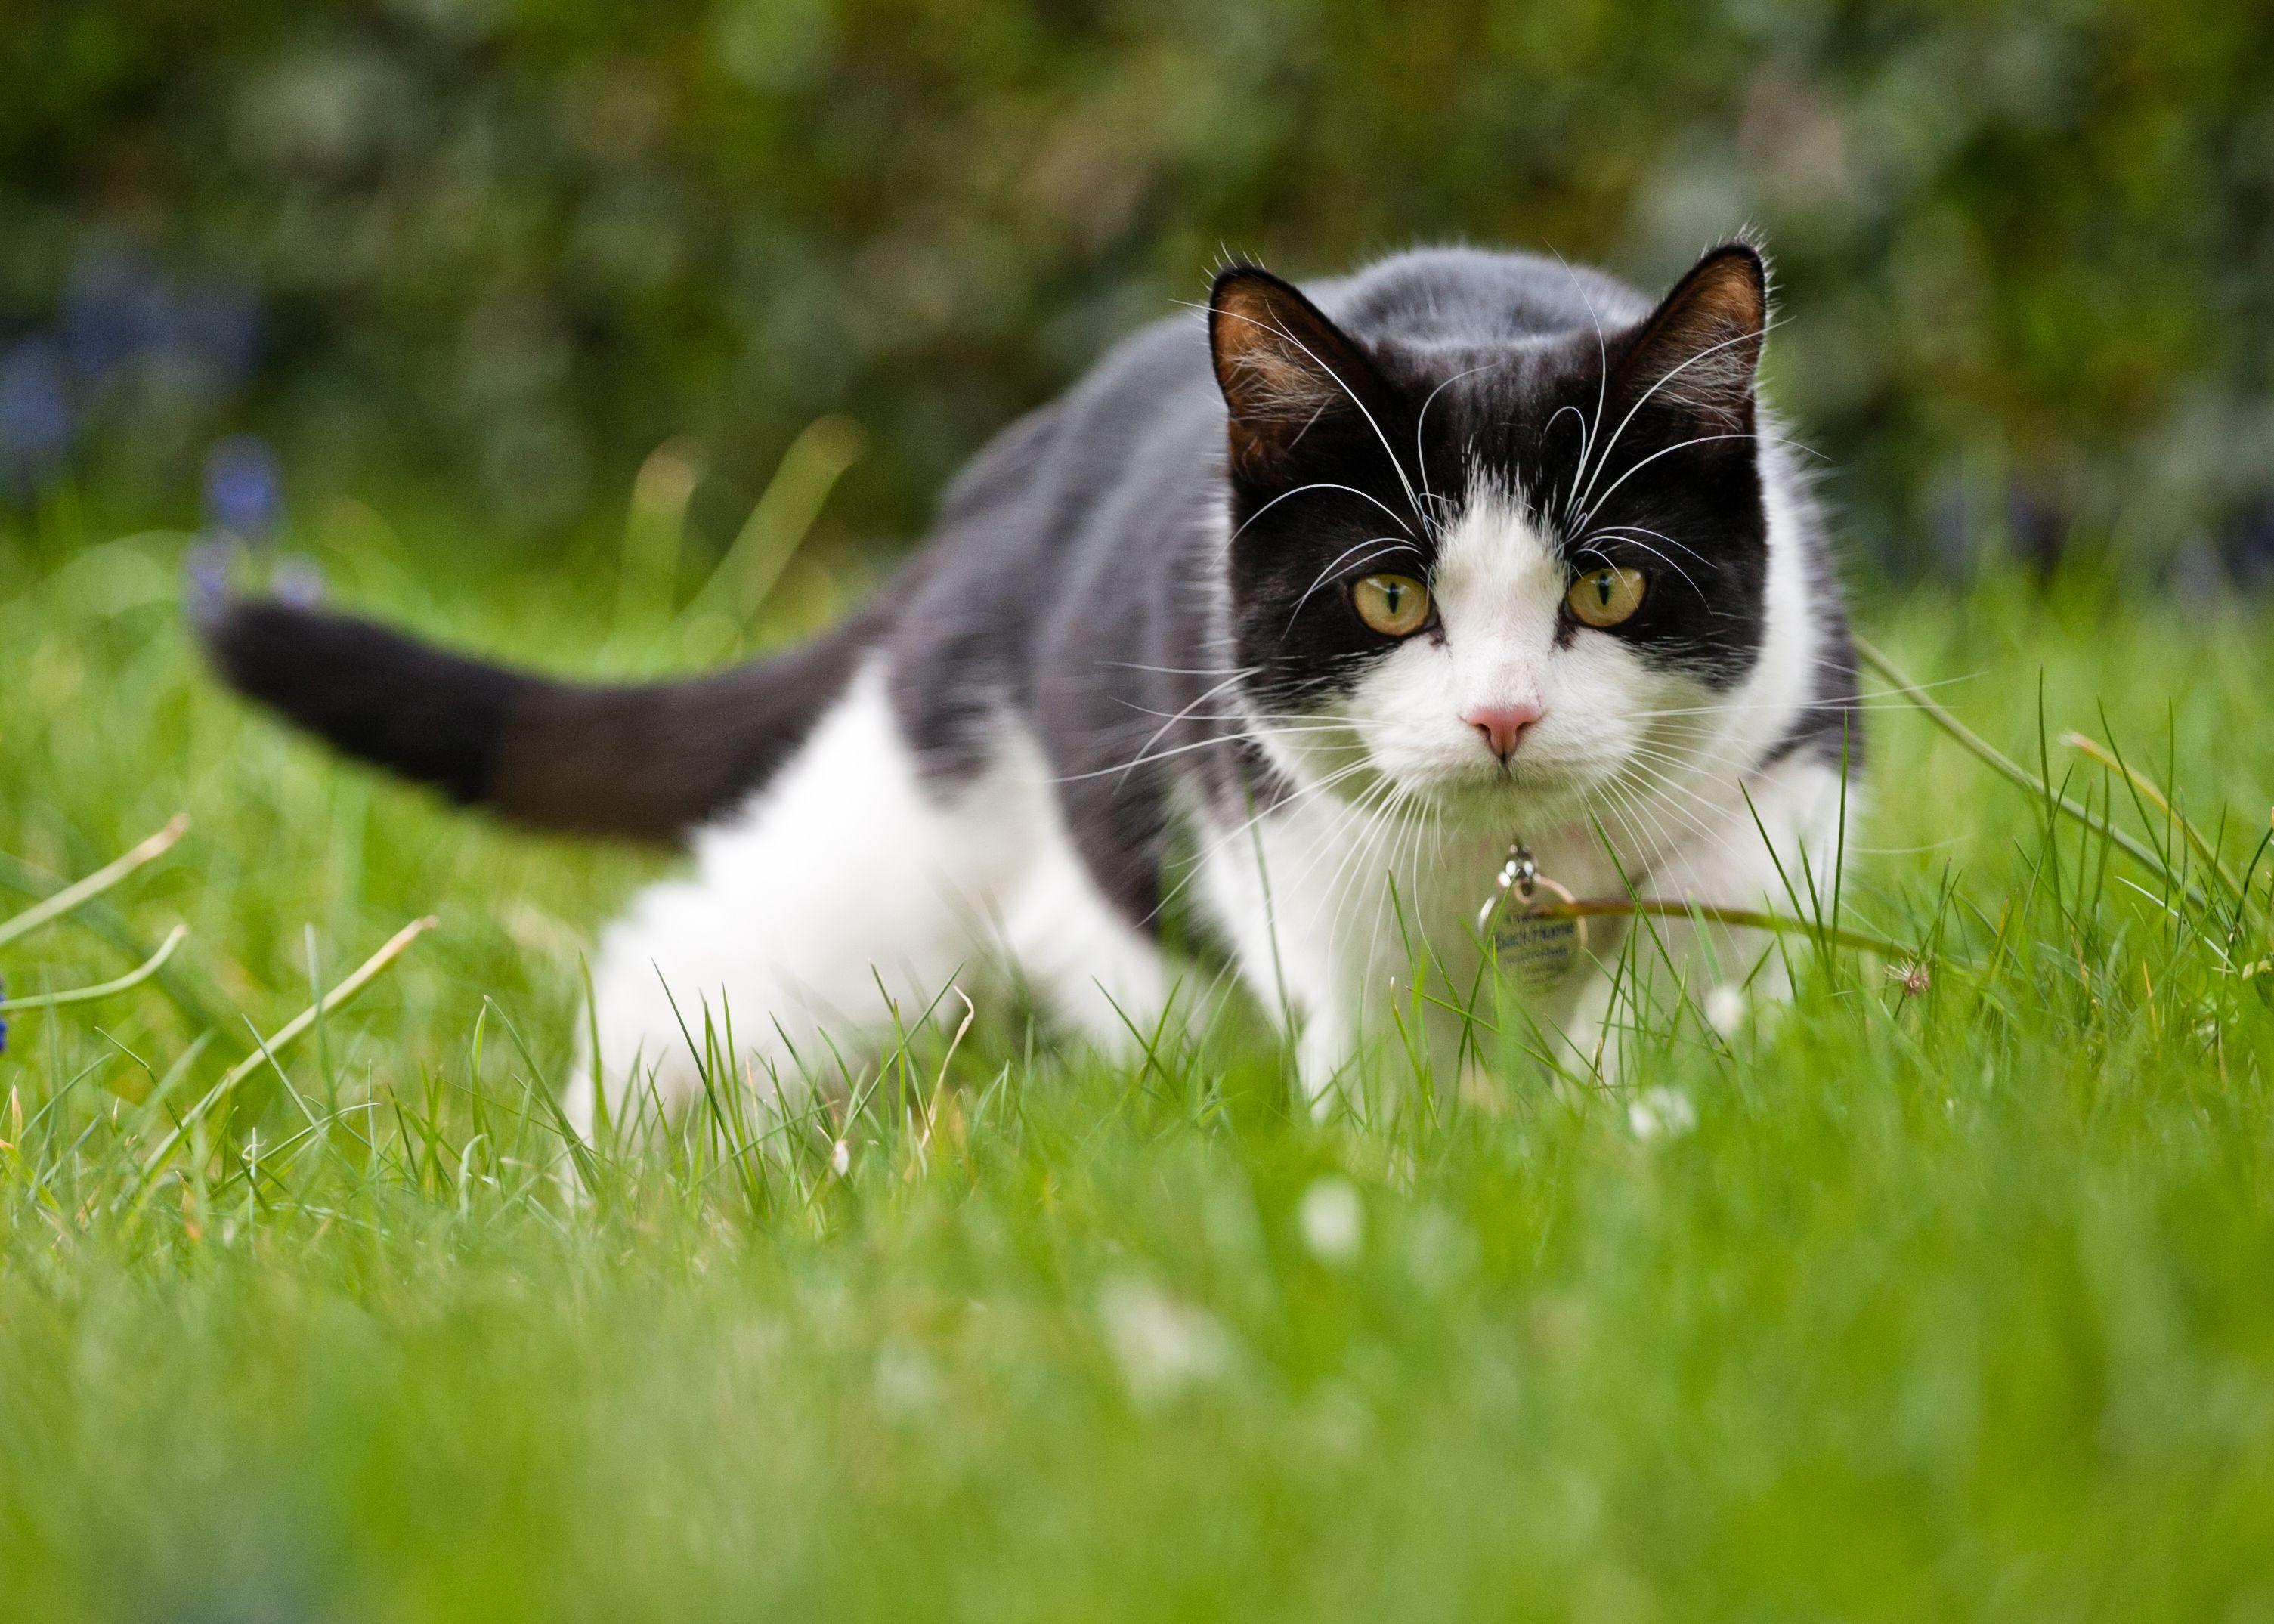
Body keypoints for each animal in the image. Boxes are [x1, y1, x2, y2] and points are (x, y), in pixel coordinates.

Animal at [204, 240, 1855, 1128]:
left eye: (1604, 587)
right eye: (1389, 596)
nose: (1502, 716)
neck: (1510, 868)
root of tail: (992, 496)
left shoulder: (1789, 754)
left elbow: (1709, 931)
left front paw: (1627, 1104)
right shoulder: (1297, 849)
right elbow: (1383, 1055)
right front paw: (1435, 1160)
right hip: (901, 840)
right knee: (694, 953)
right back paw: (607, 1175)